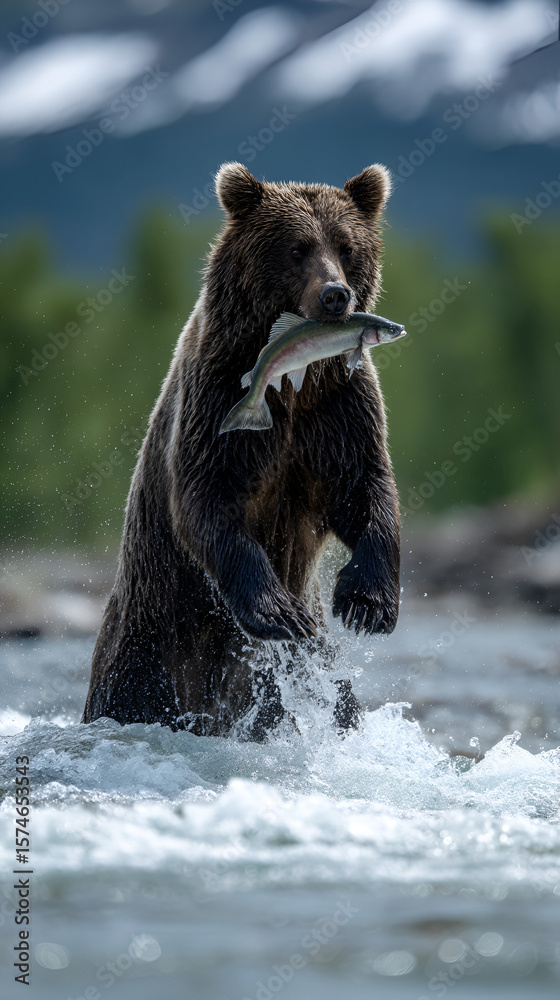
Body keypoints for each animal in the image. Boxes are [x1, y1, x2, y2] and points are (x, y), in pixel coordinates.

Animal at [82, 162, 401, 740]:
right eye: (297, 248)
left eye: (346, 246)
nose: (336, 295)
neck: (296, 380)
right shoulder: (217, 396)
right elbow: (207, 501)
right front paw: (277, 612)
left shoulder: (338, 409)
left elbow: (363, 488)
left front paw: (367, 602)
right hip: (147, 651)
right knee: (132, 691)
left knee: (338, 702)